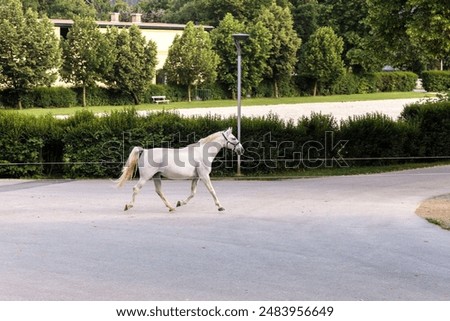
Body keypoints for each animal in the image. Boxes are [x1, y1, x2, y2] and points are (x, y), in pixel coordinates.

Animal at [115, 127, 243, 212]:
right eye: (233, 138)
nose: (241, 150)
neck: (202, 153)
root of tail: (144, 151)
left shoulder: (196, 177)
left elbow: (192, 193)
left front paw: (180, 203)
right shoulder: (204, 176)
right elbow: (212, 190)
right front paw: (220, 206)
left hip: (156, 176)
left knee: (159, 191)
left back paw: (171, 207)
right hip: (145, 177)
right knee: (136, 189)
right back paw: (128, 206)